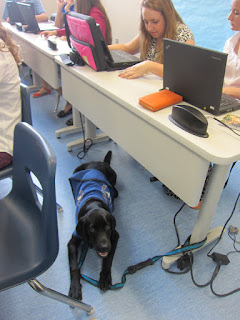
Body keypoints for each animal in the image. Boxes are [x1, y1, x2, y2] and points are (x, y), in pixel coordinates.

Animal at [67, 150, 119, 300]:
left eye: (107, 227)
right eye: (92, 229)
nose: (104, 246)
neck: (93, 203)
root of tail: (98, 162)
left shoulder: (114, 236)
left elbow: (108, 260)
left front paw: (104, 278)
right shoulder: (73, 240)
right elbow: (74, 266)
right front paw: (75, 287)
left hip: (113, 176)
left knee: (115, 189)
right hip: (75, 172)